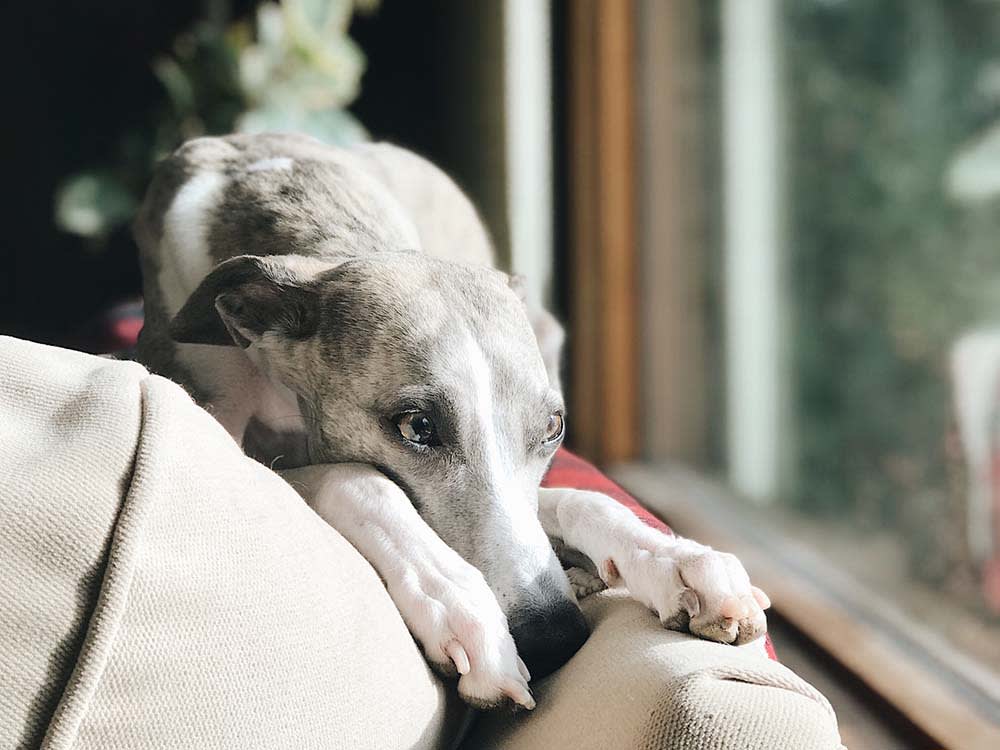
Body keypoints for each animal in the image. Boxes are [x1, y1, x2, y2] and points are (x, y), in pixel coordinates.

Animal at [135, 132, 772, 712]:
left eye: (554, 427)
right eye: (417, 427)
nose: (556, 638)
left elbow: (579, 499)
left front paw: (679, 563)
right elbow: (358, 478)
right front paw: (467, 614)